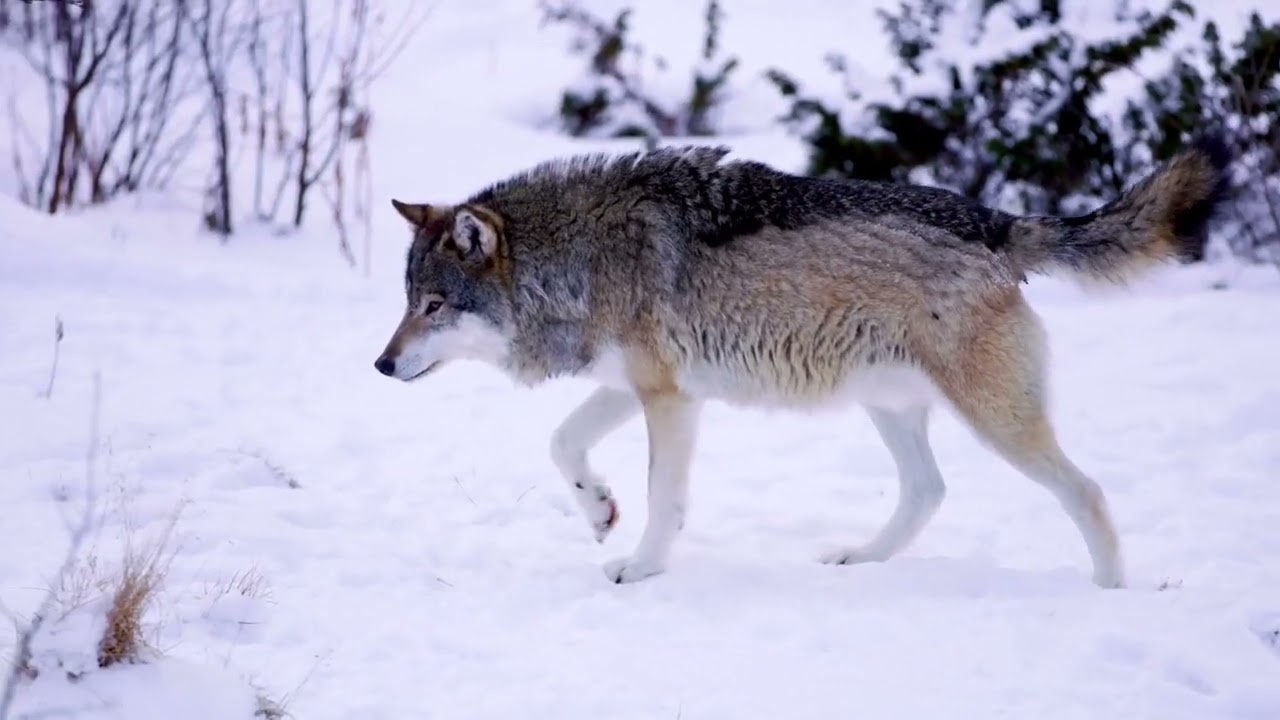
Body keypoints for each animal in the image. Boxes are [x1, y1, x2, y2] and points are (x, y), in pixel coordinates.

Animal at [374, 136, 1231, 588]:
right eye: (408, 299)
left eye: (434, 306)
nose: (381, 366)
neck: (577, 258)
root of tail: (998, 222)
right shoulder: (646, 386)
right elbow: (563, 444)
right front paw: (599, 511)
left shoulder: (668, 398)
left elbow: (663, 496)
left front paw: (641, 568)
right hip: (888, 405)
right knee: (929, 490)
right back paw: (860, 558)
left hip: (995, 419)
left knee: (1085, 491)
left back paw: (1110, 592)